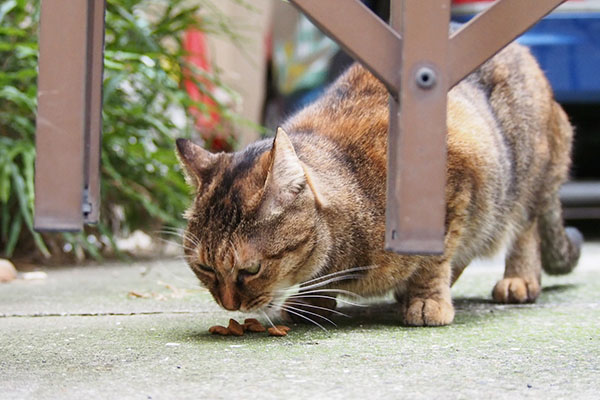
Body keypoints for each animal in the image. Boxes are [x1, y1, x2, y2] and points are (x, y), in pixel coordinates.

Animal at [177, 42, 580, 326]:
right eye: (205, 269)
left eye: (251, 270)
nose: (229, 304)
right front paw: (312, 301)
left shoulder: (452, 185)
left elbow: (435, 258)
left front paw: (427, 299)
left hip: (526, 178)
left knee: (524, 230)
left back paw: (519, 279)